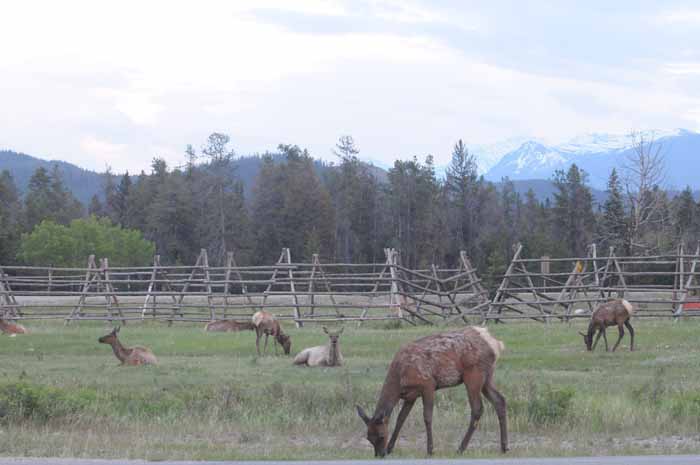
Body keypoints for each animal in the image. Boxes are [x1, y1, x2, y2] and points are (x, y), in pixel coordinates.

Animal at [358, 326, 506, 456]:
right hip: (487, 377)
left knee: (477, 408)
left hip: (473, 375)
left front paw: (430, 450)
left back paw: (460, 448)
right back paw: (504, 447)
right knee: (500, 400)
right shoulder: (410, 395)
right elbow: (401, 419)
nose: (380, 454)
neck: (399, 379)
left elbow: (427, 417)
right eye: (369, 438)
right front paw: (390, 448)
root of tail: (496, 344)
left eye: (381, 435)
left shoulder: (428, 384)